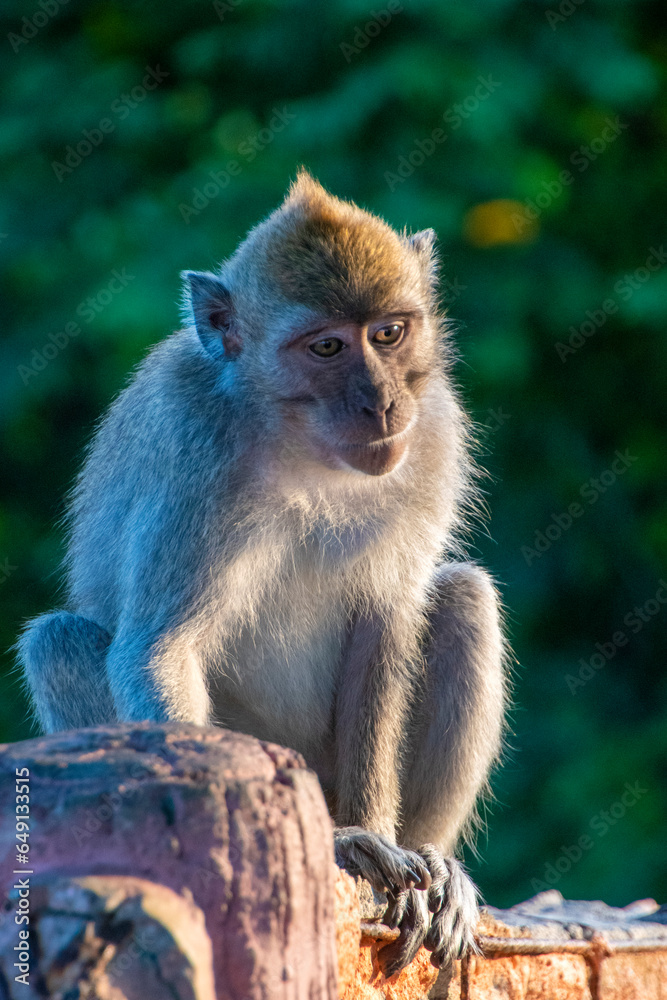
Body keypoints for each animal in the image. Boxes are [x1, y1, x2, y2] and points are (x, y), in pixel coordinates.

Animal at [20, 174, 506, 976]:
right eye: (326, 346)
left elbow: (384, 626)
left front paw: (374, 835)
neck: (298, 440)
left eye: (388, 334)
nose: (381, 403)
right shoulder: (193, 449)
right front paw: (340, 842)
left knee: (464, 596)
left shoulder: (432, 430)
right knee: (56, 639)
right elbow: (159, 647)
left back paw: (438, 863)